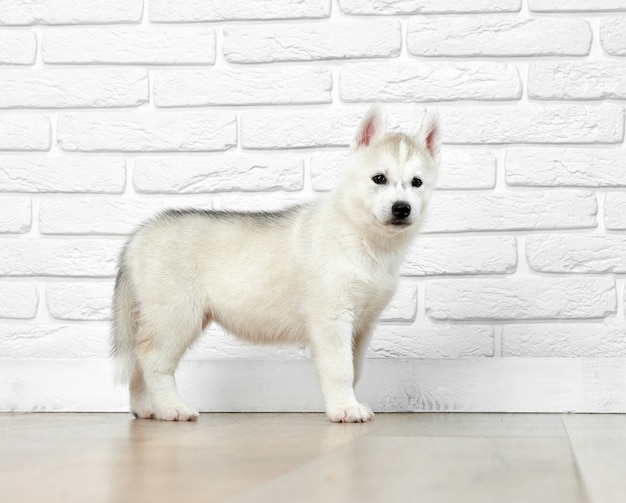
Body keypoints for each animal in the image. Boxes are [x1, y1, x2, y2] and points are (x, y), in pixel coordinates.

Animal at [114, 108, 442, 424]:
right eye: (379, 179)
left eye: (417, 182)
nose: (402, 208)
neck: (364, 239)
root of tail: (139, 234)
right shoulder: (332, 318)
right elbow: (340, 369)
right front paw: (344, 409)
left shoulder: (363, 325)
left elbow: (355, 369)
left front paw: (348, 402)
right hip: (177, 316)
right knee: (152, 361)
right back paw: (172, 408)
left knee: (139, 363)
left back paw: (145, 409)